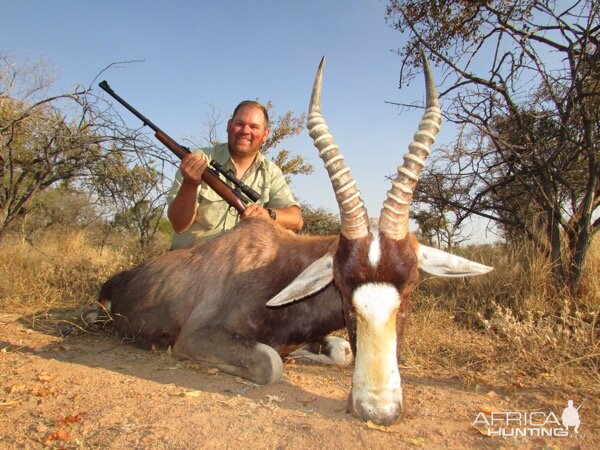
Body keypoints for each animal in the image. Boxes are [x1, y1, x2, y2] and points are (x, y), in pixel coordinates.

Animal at [97, 54, 492, 424]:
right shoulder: (195, 337)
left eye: (411, 285)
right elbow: (271, 362)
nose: (377, 410)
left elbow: (341, 352)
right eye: (342, 286)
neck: (272, 265)